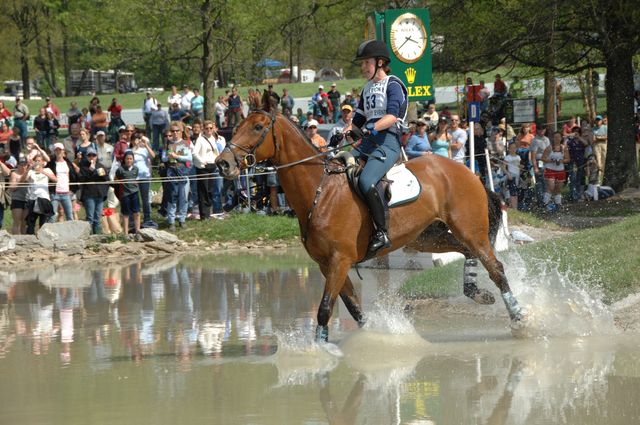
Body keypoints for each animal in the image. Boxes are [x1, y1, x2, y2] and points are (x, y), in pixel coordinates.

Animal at [216, 108, 524, 342]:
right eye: (237, 127)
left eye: (257, 127)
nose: (222, 164)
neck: (320, 191)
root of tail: (469, 172)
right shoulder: (328, 265)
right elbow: (354, 309)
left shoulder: (339, 261)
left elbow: (324, 310)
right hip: (426, 237)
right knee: (466, 252)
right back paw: (478, 294)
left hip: (470, 230)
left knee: (495, 268)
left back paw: (519, 319)